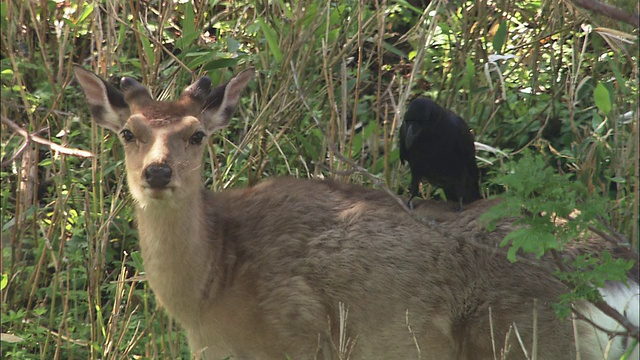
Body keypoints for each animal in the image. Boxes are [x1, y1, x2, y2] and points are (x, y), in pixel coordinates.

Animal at [72, 65, 636, 360]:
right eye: (129, 133)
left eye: (197, 135)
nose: (158, 173)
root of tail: (617, 273)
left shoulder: (300, 335)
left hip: (529, 337)